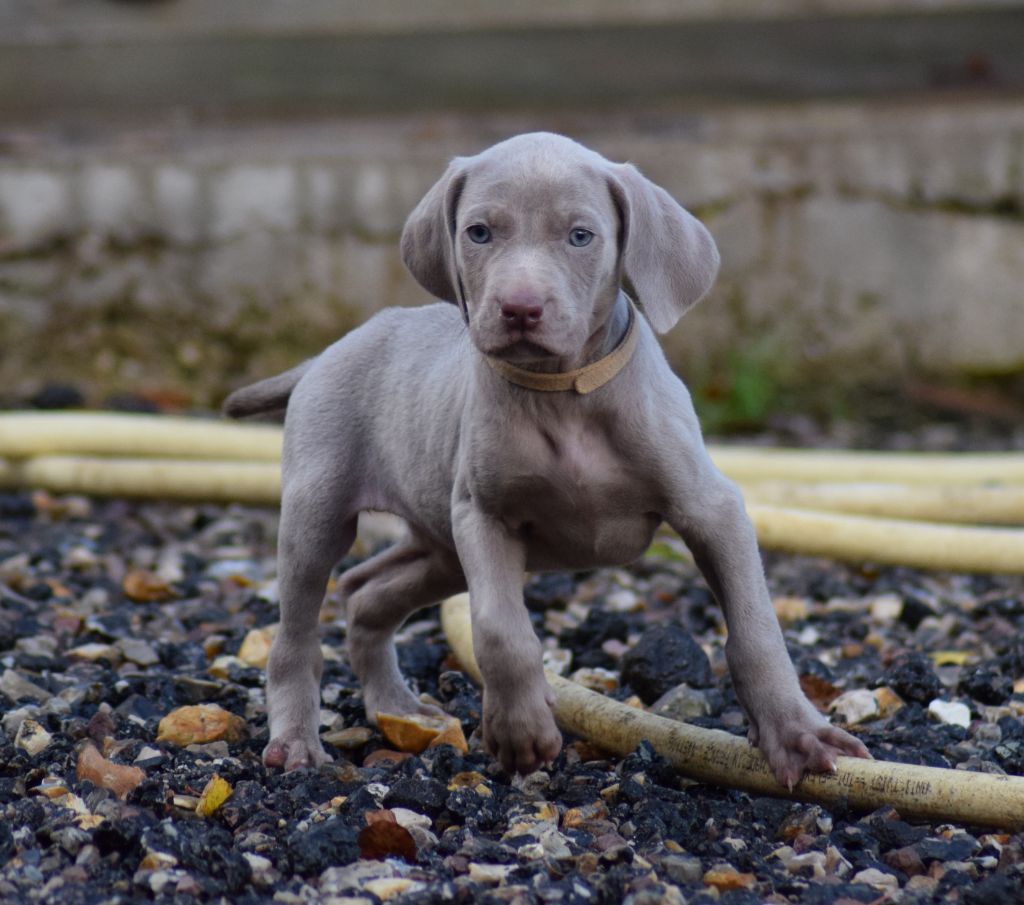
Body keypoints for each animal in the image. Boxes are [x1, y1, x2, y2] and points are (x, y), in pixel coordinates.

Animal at [224, 132, 869, 786]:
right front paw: (522, 732)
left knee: (364, 592)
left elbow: (755, 626)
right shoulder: (482, 517)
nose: (519, 308)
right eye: (479, 232)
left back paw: (396, 706)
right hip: (322, 510)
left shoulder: (711, 508)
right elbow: (500, 630)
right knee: (298, 632)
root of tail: (326, 353)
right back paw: (298, 739)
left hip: (437, 545)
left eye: (581, 236)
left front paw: (796, 734)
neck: (563, 393)